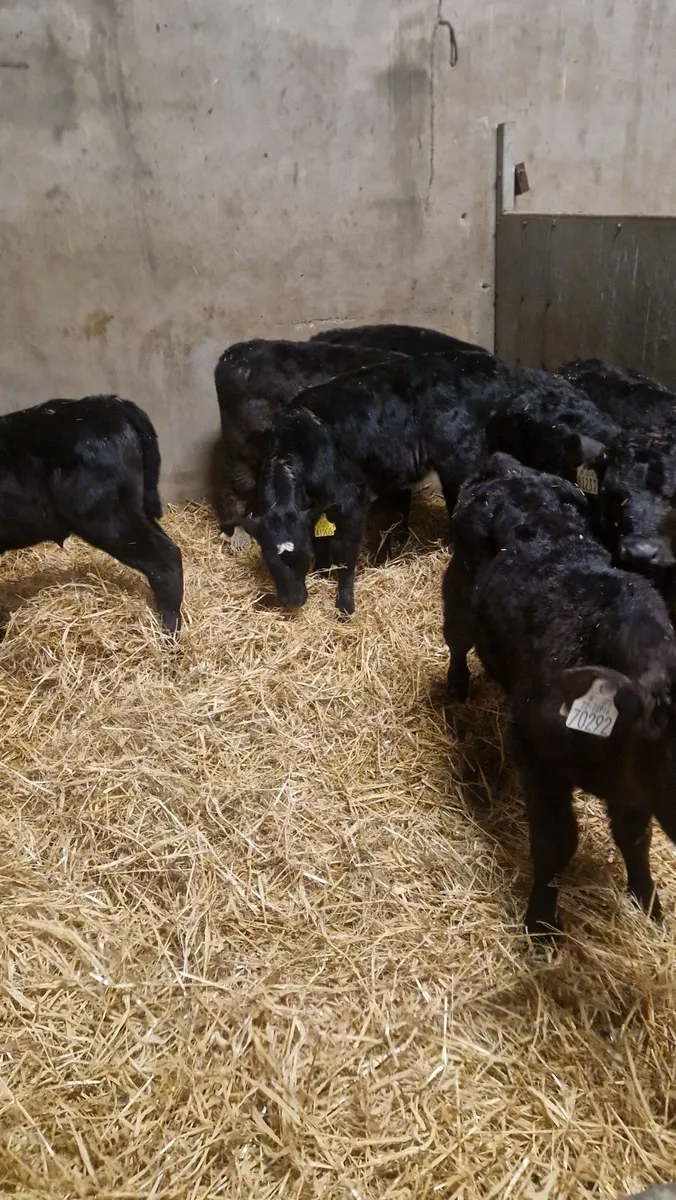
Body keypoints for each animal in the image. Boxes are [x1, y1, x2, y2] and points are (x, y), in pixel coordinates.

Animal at [443, 452, 676, 937]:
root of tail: (510, 466)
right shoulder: (534, 753)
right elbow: (555, 844)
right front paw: (541, 922)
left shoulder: (634, 787)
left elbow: (635, 836)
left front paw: (649, 904)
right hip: (456, 590)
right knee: (456, 641)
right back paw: (456, 685)